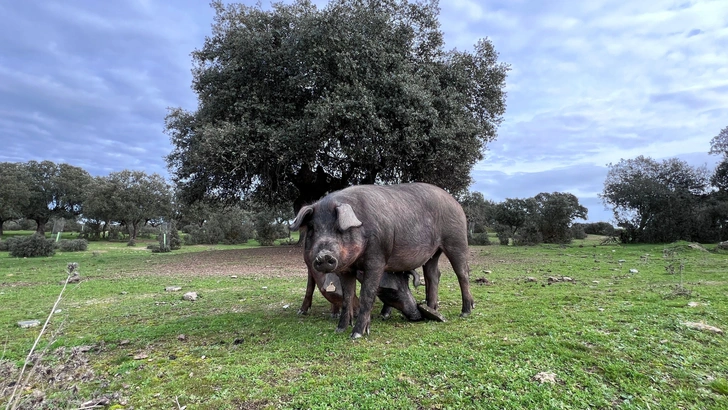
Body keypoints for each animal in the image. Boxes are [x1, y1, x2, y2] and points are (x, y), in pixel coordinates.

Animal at [292, 183, 474, 340]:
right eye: (312, 229)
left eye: (338, 228)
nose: (324, 256)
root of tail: (455, 202)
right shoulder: (346, 269)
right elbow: (347, 297)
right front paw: (340, 329)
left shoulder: (377, 259)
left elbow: (367, 295)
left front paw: (356, 335)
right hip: (433, 253)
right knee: (433, 275)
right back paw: (432, 309)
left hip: (456, 239)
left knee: (462, 273)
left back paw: (465, 312)